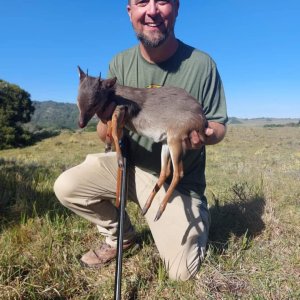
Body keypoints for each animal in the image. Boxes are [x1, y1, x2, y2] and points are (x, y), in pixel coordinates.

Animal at [77, 66, 209, 220]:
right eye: (78, 100)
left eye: (94, 103)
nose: (81, 123)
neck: (113, 94)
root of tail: (202, 120)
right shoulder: (115, 117)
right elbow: (110, 130)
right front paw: (108, 145)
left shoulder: (119, 110)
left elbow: (115, 133)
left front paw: (120, 159)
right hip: (166, 143)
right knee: (165, 172)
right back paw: (146, 207)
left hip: (175, 140)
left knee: (178, 173)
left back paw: (160, 210)